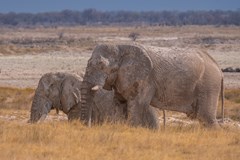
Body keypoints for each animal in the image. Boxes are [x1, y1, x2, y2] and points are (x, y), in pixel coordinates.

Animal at [81, 43, 225, 127]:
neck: (121, 47)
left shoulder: (145, 79)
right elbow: (119, 105)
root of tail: (218, 67)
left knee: (205, 116)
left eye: (101, 65)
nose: (87, 125)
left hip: (209, 84)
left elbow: (136, 105)